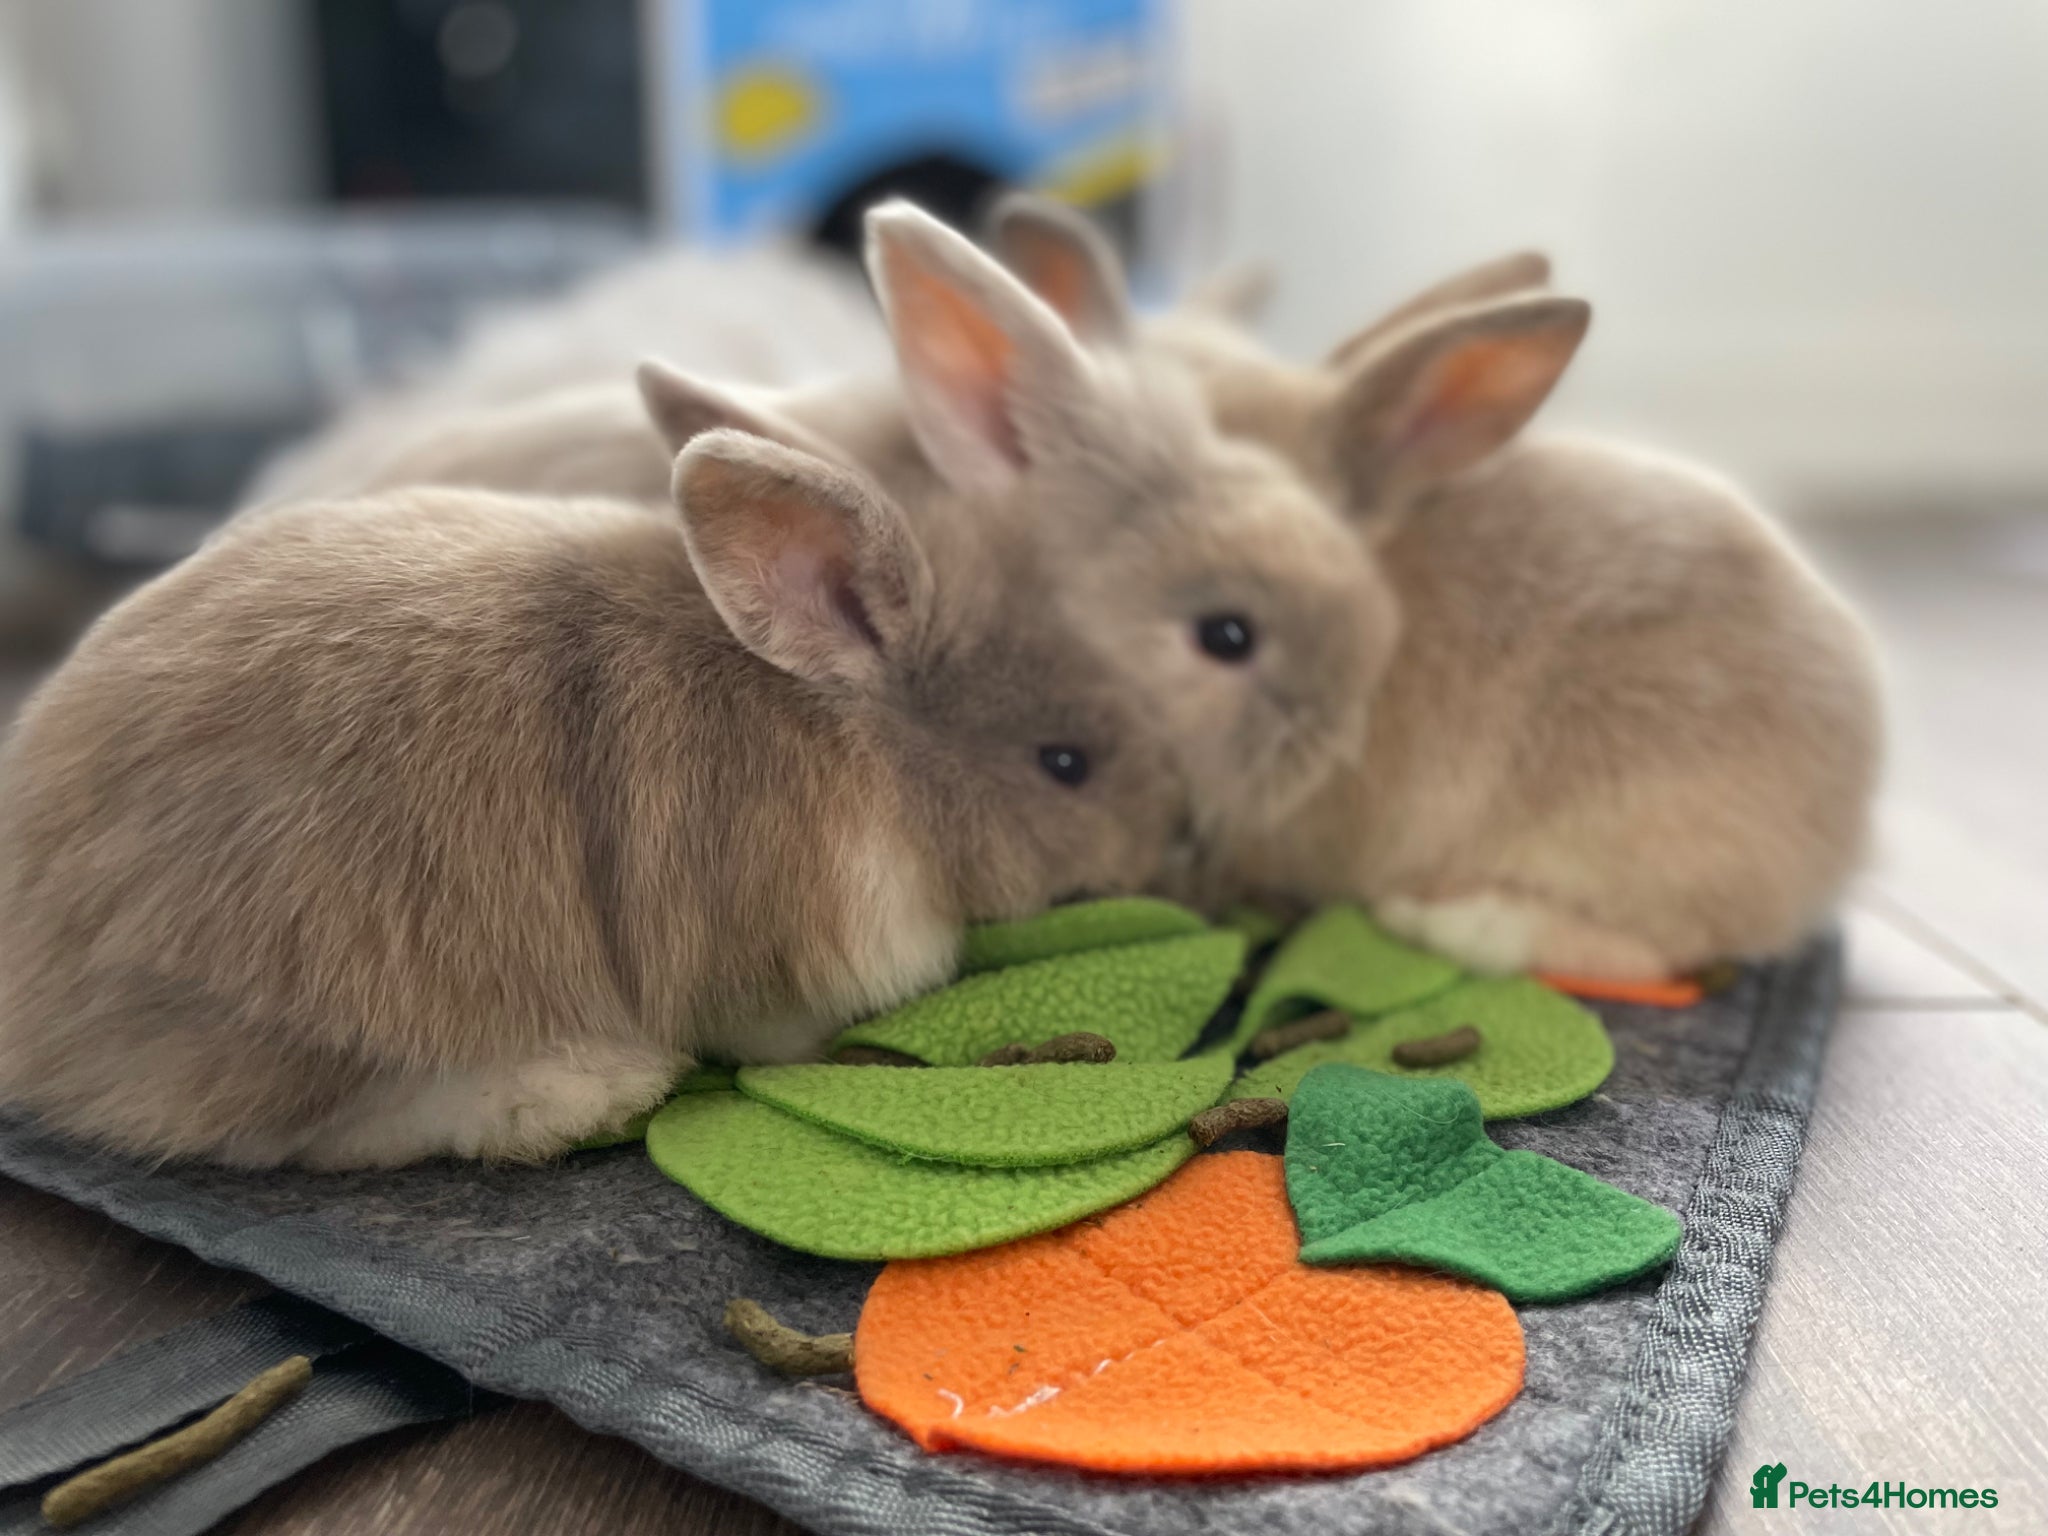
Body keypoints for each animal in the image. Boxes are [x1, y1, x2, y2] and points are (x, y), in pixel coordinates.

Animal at [0, 431, 1182, 1168]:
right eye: (1064, 764)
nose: (1170, 846)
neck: (854, 746)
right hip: (304, 994)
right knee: (290, 1131)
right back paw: (575, 1092)